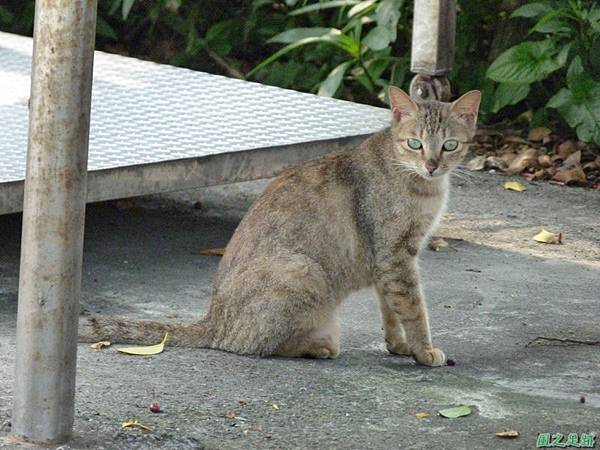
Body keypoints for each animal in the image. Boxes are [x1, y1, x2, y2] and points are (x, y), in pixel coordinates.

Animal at [79, 87, 480, 366]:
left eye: (449, 144)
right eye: (415, 143)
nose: (432, 165)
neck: (419, 184)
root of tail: (213, 321)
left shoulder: (389, 261)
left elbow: (390, 310)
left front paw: (399, 345)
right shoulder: (395, 256)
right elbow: (414, 310)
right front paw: (424, 351)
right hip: (303, 271)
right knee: (256, 346)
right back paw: (319, 346)